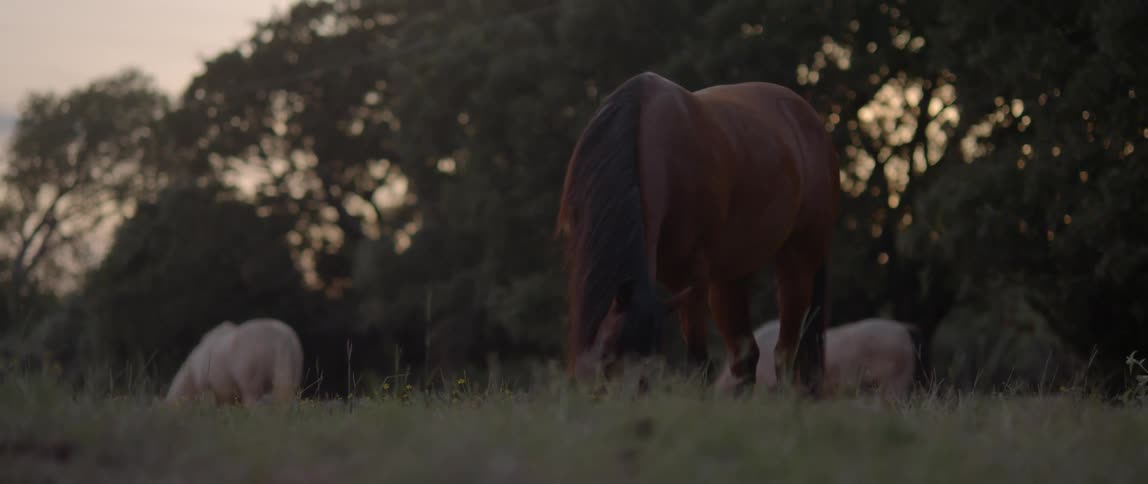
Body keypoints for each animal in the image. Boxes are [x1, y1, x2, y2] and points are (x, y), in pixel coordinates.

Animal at [556, 71, 840, 395]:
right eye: (606, 356)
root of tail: (810, 119)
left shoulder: (691, 278)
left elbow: (698, 363)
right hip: (729, 277)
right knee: (747, 356)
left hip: (797, 261)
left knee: (785, 352)